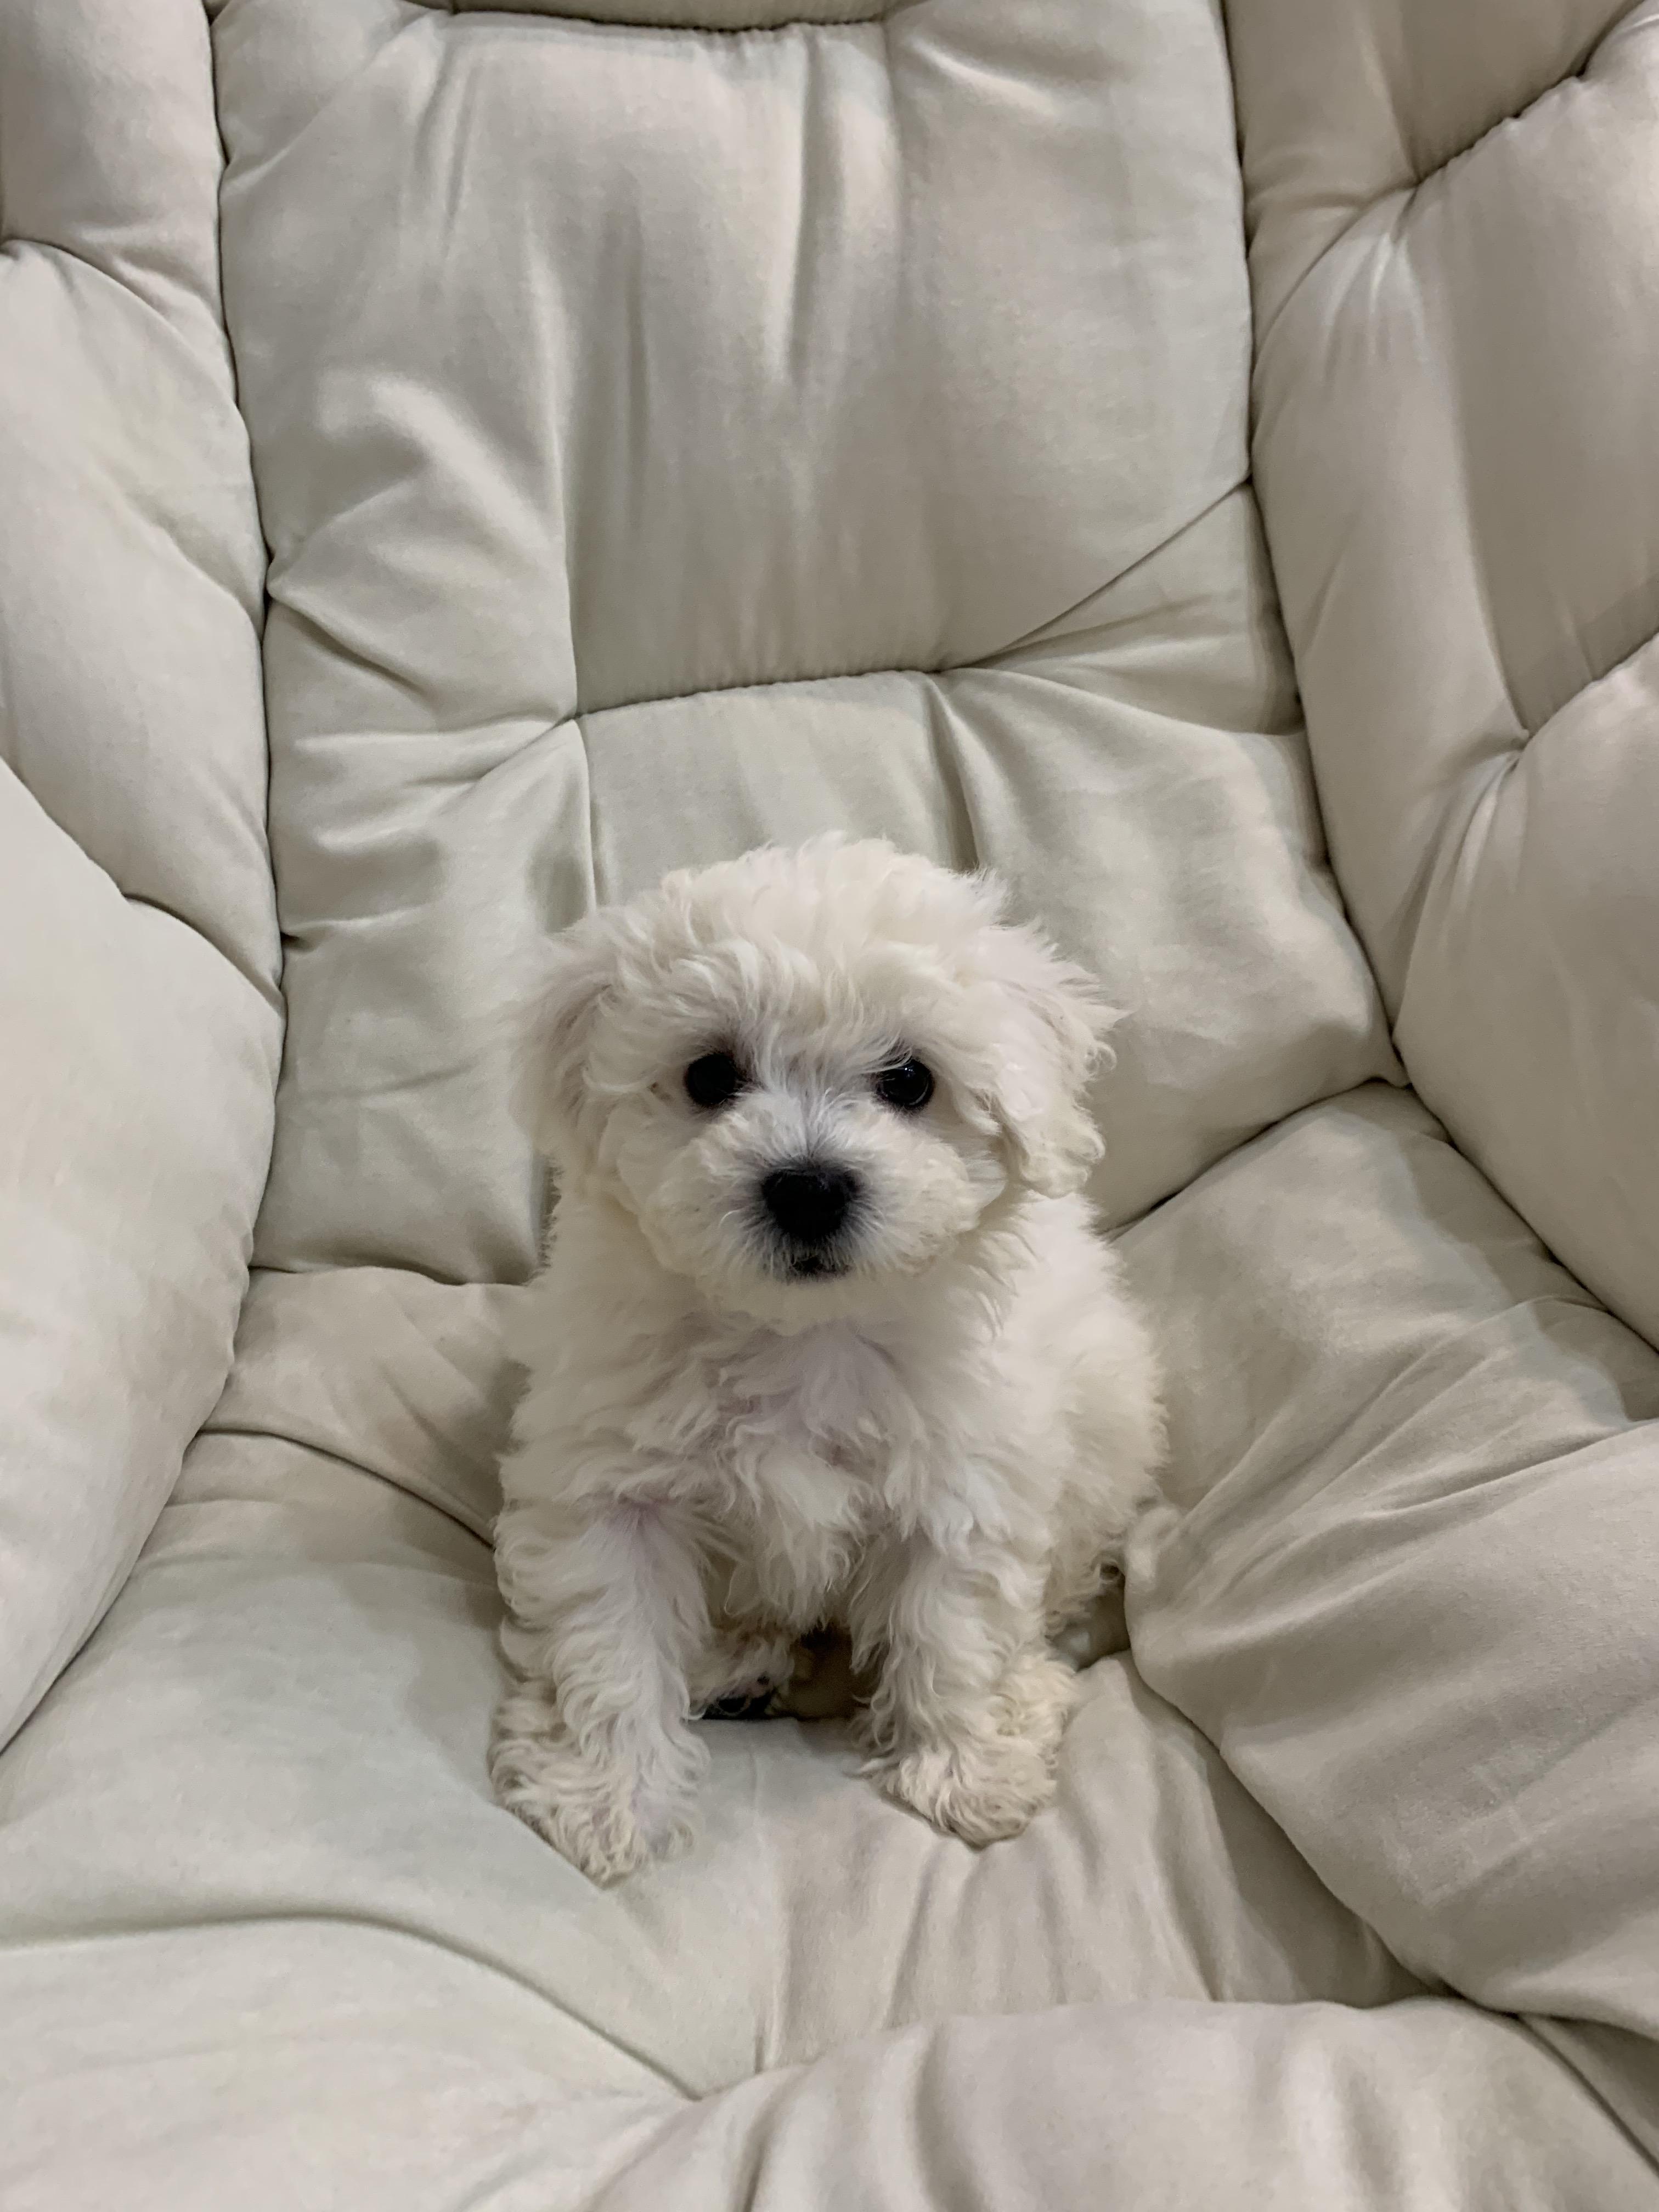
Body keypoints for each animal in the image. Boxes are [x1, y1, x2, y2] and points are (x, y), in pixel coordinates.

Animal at [490, 837, 1164, 1883]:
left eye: (910, 1081)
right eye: (709, 1075)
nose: (807, 1187)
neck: (799, 1334)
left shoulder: (963, 1477)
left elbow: (952, 1623)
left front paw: (965, 1764)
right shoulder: (608, 1482)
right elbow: (608, 1632)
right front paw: (605, 1795)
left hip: (1105, 1427)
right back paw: (738, 1660)